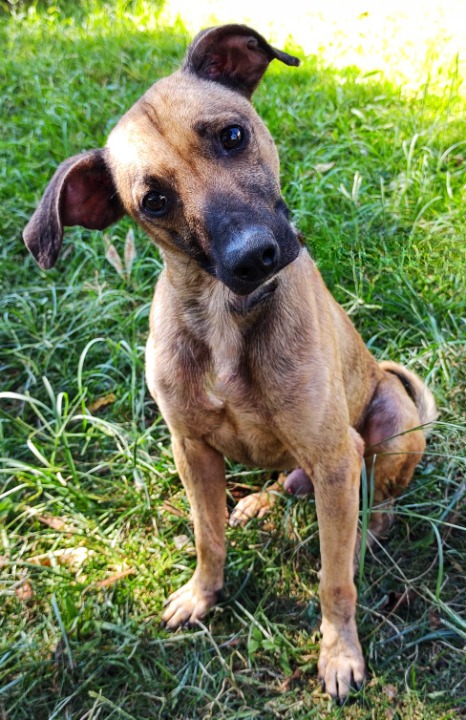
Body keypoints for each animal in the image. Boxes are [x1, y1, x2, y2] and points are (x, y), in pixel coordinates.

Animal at [22, 25, 436, 700]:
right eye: (153, 200)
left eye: (233, 135)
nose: (254, 256)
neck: (225, 314)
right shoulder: (190, 449)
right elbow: (207, 536)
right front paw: (202, 595)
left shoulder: (333, 455)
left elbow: (334, 580)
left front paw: (338, 652)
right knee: (287, 479)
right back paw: (262, 501)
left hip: (392, 421)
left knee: (378, 495)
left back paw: (369, 533)